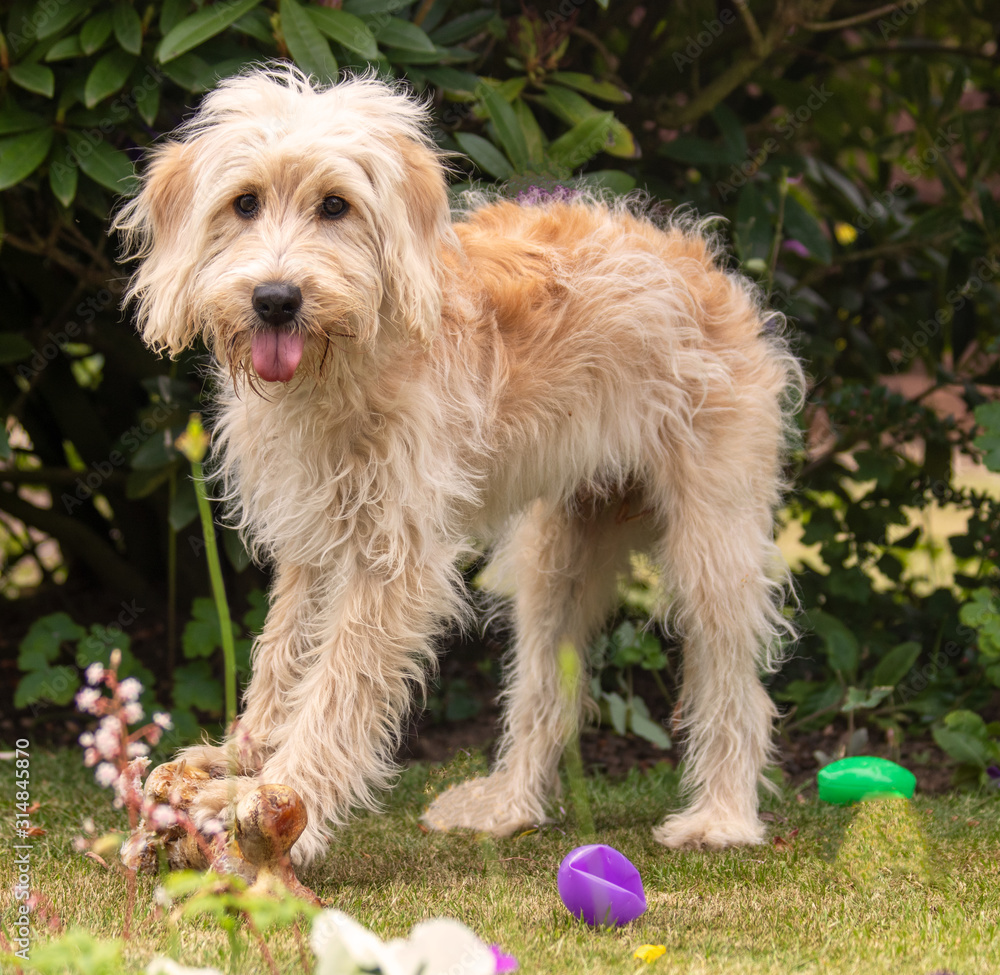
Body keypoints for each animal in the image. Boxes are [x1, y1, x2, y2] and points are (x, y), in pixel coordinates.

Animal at [115, 65, 804, 864]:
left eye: (335, 205)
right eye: (244, 202)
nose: (276, 300)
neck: (346, 363)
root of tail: (703, 259)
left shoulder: (392, 557)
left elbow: (340, 685)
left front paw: (287, 801)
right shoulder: (312, 538)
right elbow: (283, 652)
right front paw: (242, 757)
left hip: (711, 545)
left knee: (735, 684)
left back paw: (720, 817)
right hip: (555, 558)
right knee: (545, 691)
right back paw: (509, 806)